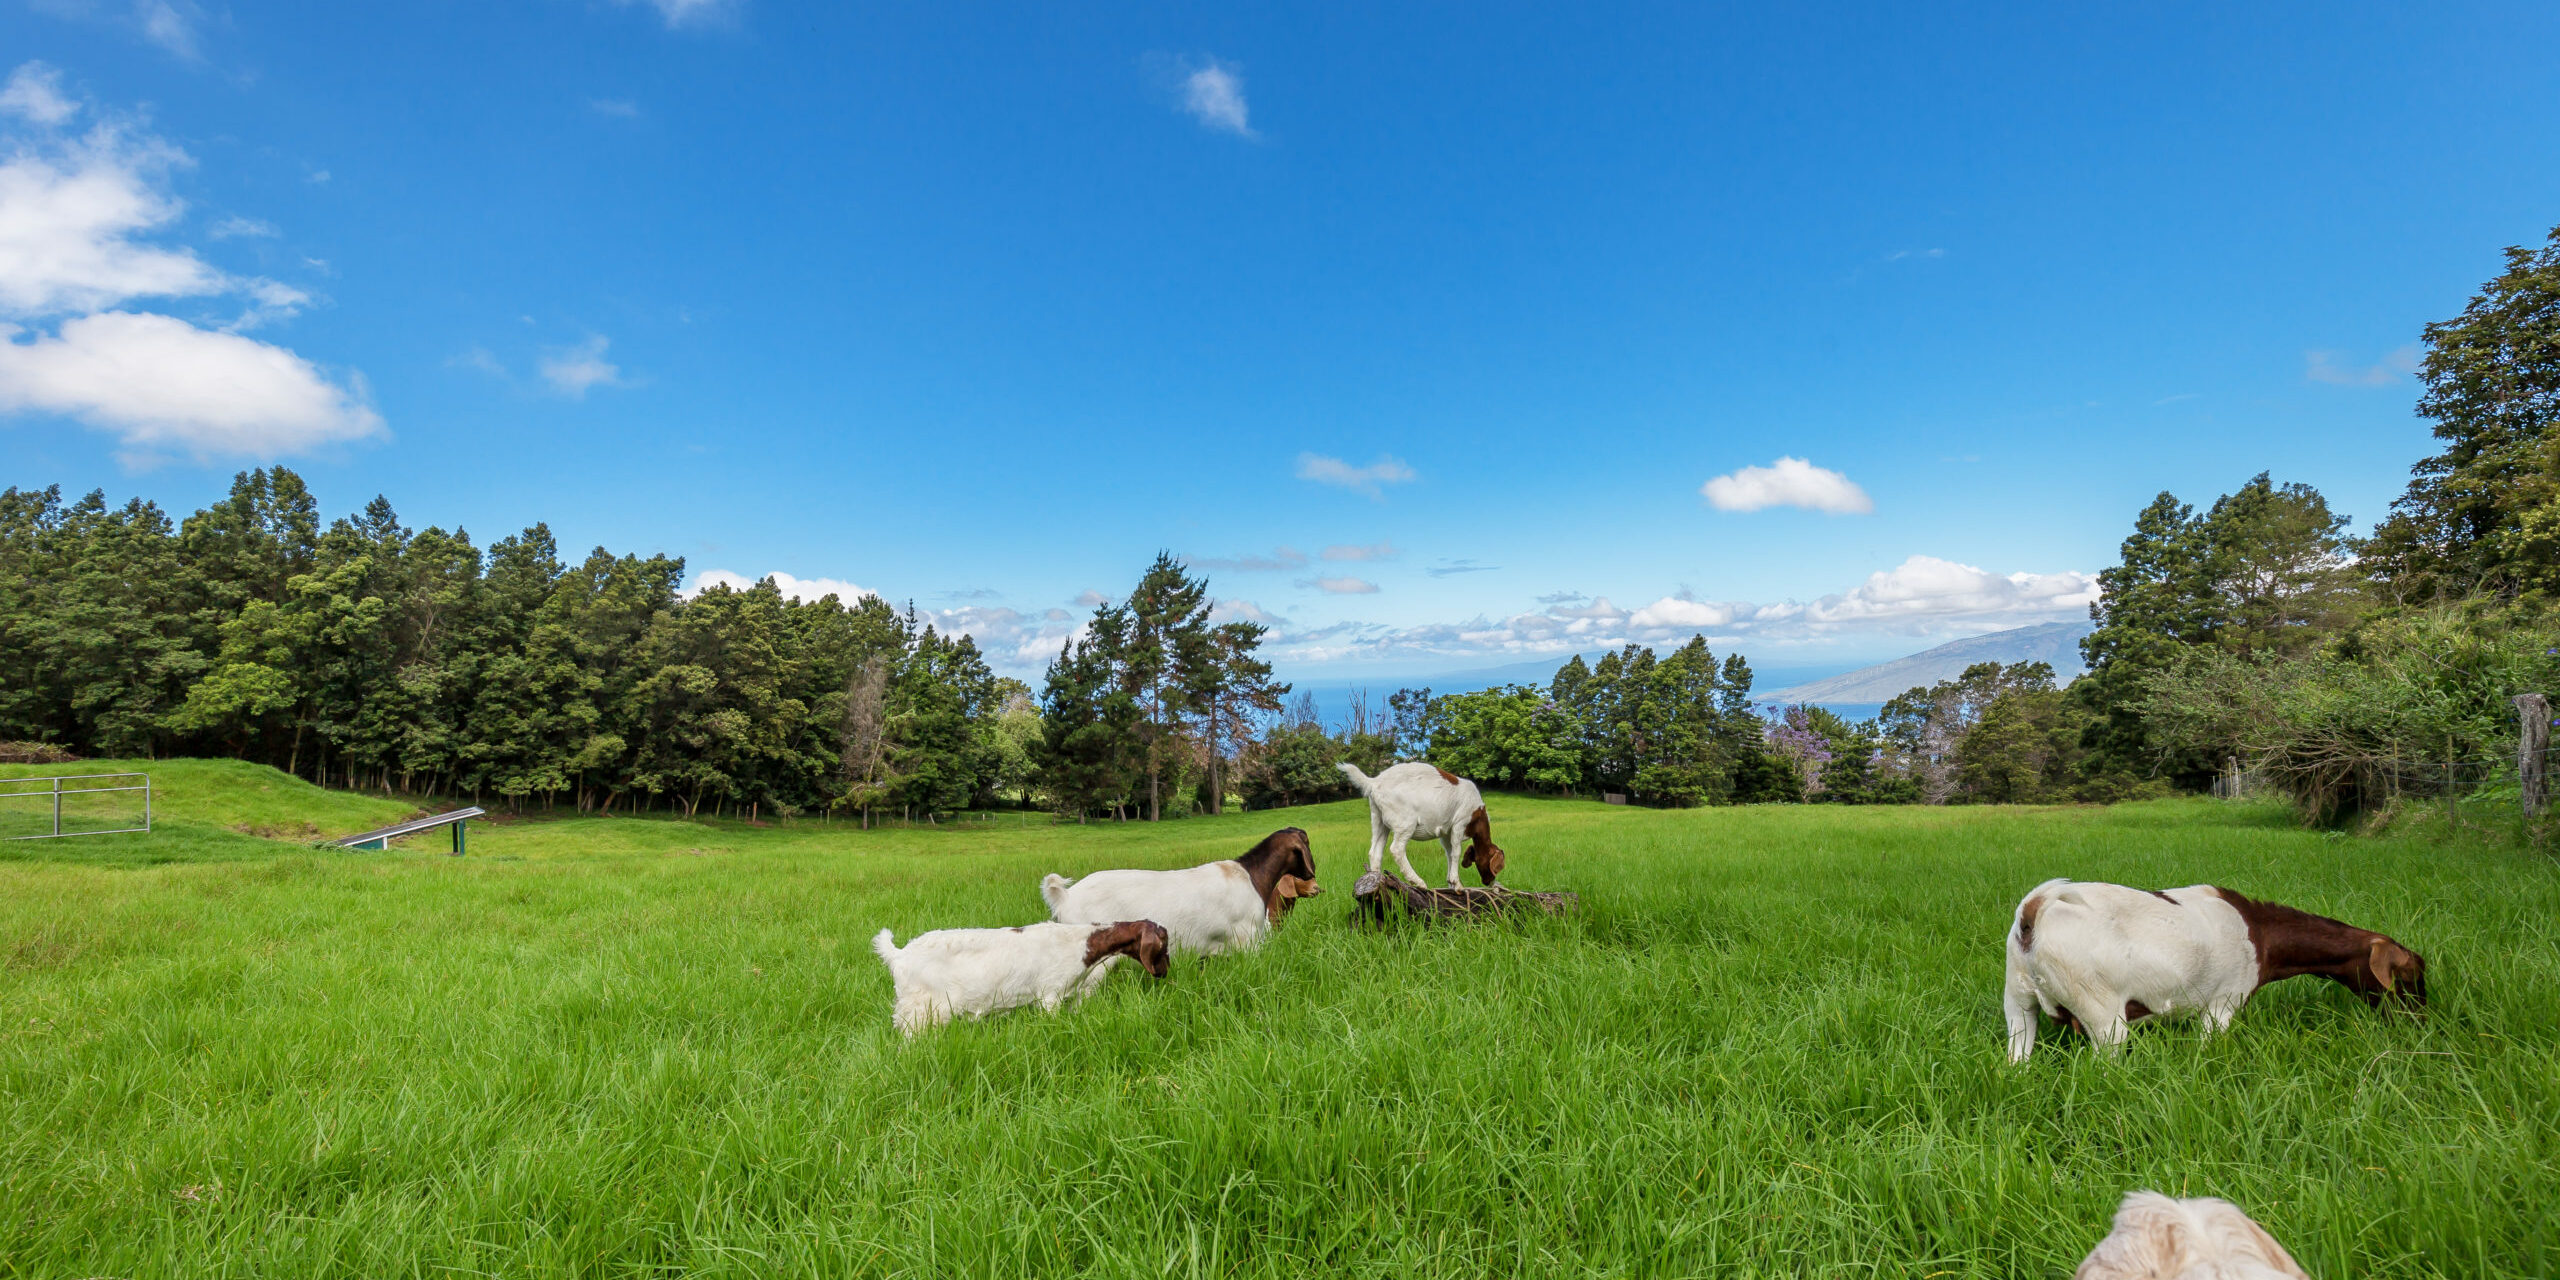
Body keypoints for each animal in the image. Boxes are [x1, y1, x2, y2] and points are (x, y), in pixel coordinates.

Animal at [870, 916, 1172, 1034]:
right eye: (1164, 943)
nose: (1164, 972)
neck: (1082, 943)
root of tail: (898, 954)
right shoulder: (1050, 995)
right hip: (920, 1009)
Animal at [1331, 757, 1505, 890]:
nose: (1490, 882)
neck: (1478, 814)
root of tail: (1374, 782)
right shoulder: (1459, 823)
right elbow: (1456, 852)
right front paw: (1458, 884)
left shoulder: (1446, 833)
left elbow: (1449, 853)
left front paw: (1451, 883)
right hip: (1404, 822)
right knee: (1397, 849)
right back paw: (1418, 881)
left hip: (1378, 819)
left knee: (1375, 851)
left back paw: (1379, 880)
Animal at [1996, 875, 2416, 1064]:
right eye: (2411, 975)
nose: (2419, 1022)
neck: (2261, 934)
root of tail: (2035, 911)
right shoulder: (2223, 1004)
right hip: (2103, 1019)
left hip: (2018, 1002)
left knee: (2017, 1054)